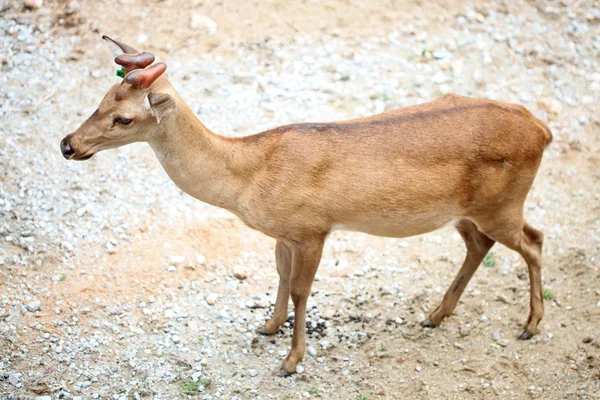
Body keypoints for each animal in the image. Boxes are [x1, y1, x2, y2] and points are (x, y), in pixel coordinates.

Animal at [59, 36, 552, 376]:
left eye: (124, 117)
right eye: (100, 100)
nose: (67, 144)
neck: (250, 176)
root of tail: (542, 130)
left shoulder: (313, 228)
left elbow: (301, 289)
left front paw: (291, 362)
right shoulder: (283, 232)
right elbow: (278, 275)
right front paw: (267, 326)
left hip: (503, 204)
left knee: (534, 240)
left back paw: (530, 325)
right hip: (464, 210)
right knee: (480, 244)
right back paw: (434, 315)